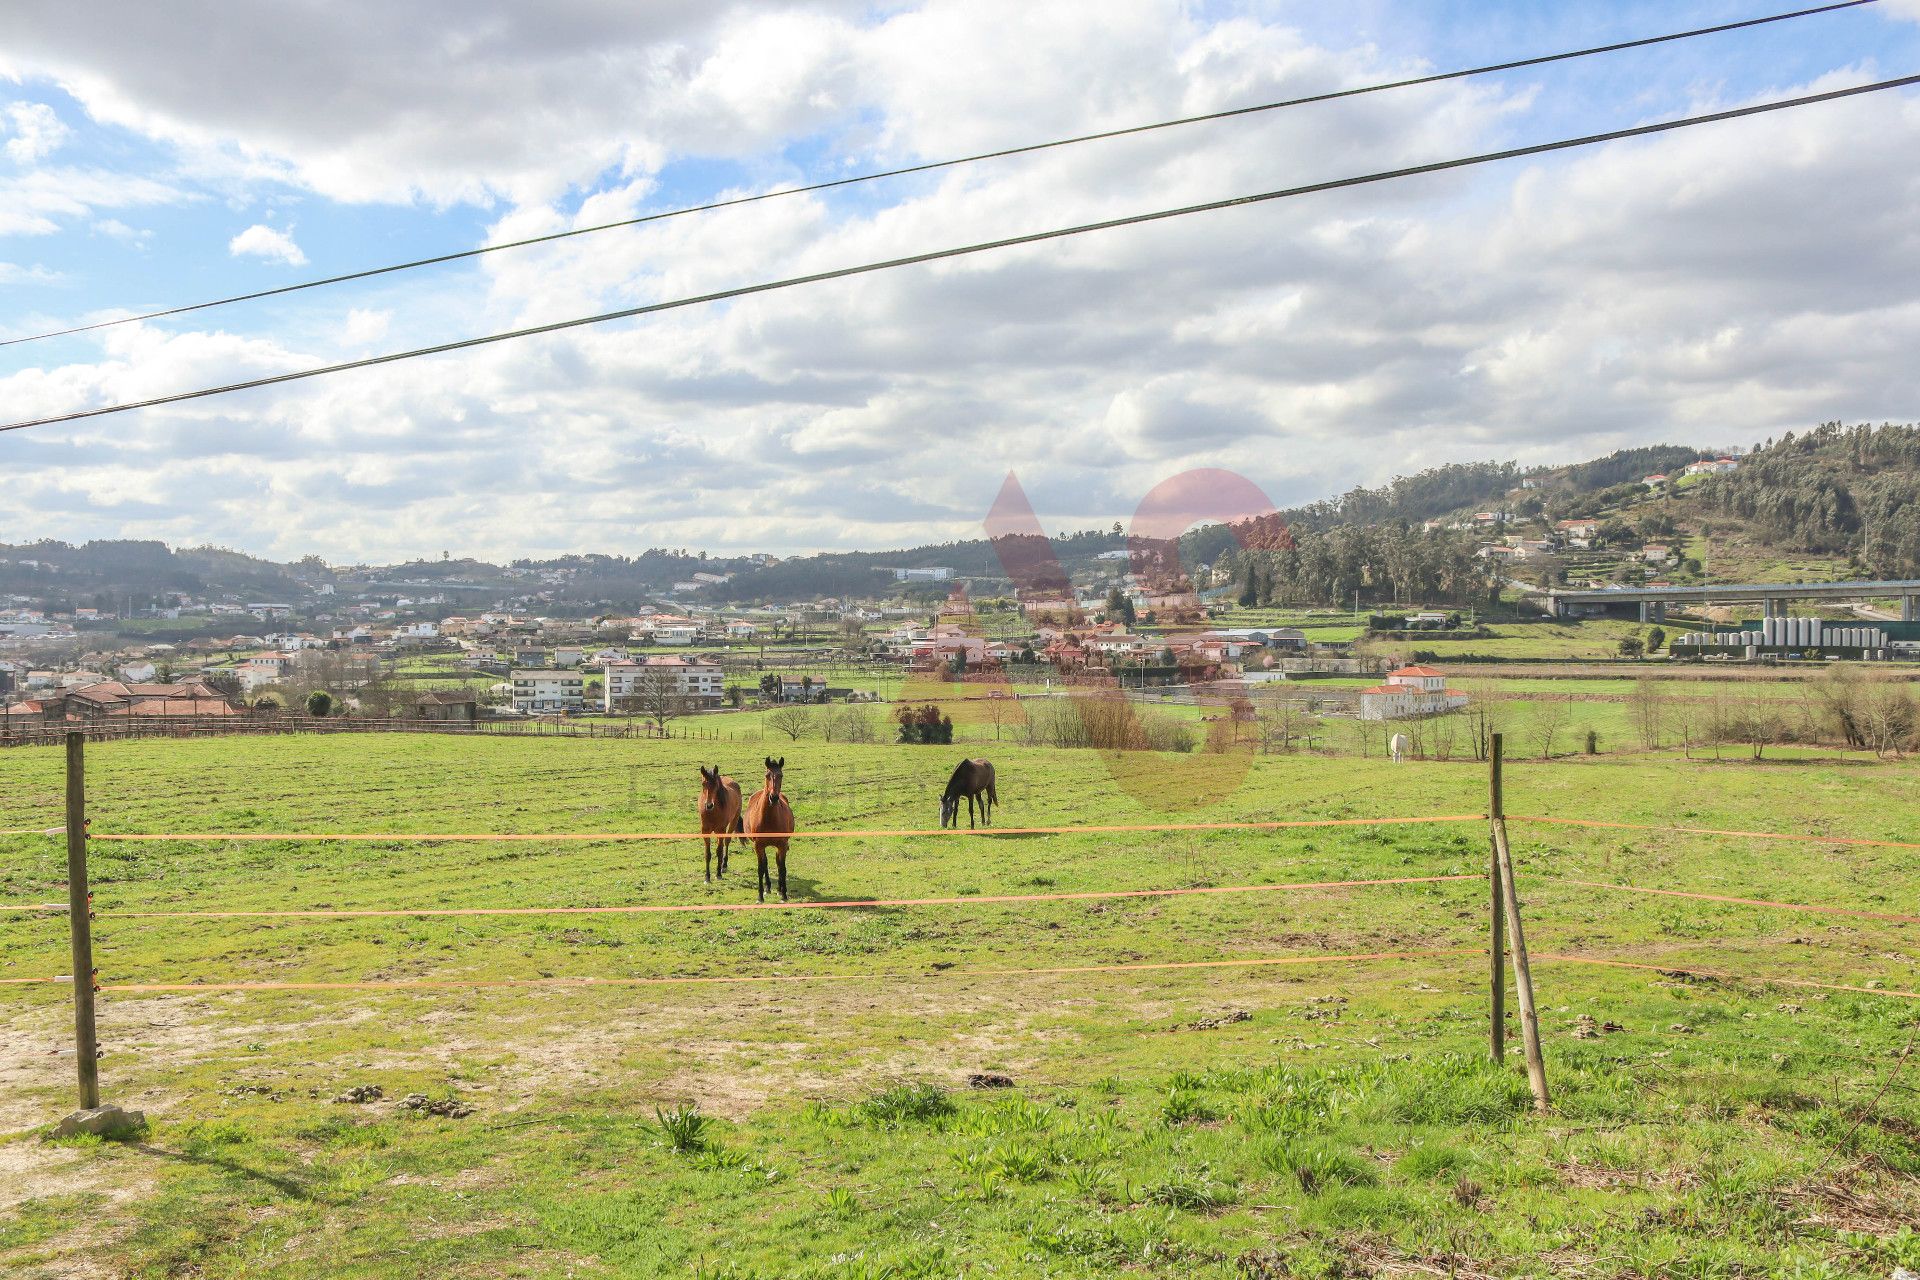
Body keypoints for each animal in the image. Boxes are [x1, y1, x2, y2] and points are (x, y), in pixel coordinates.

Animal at [737, 756, 791, 905]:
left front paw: (784, 894)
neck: (769, 819)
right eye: (767, 775)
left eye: (781, 775)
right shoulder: (758, 845)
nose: (774, 797)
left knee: (778, 863)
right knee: (765, 863)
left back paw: (779, 889)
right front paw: (760, 896)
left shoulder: (782, 845)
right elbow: (761, 868)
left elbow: (782, 867)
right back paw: (768, 887)